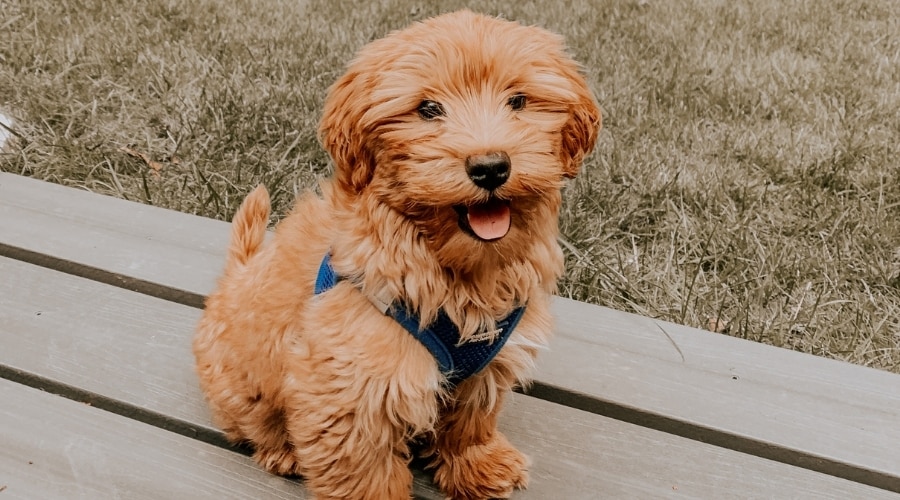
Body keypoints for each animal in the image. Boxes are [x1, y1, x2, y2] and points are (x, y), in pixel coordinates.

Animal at [193, 8, 600, 500]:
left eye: (518, 100)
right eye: (427, 109)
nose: (490, 167)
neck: (456, 269)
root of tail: (234, 276)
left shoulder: (486, 366)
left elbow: (471, 419)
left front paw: (478, 464)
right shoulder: (352, 384)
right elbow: (365, 473)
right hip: (239, 381)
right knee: (252, 420)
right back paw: (281, 449)